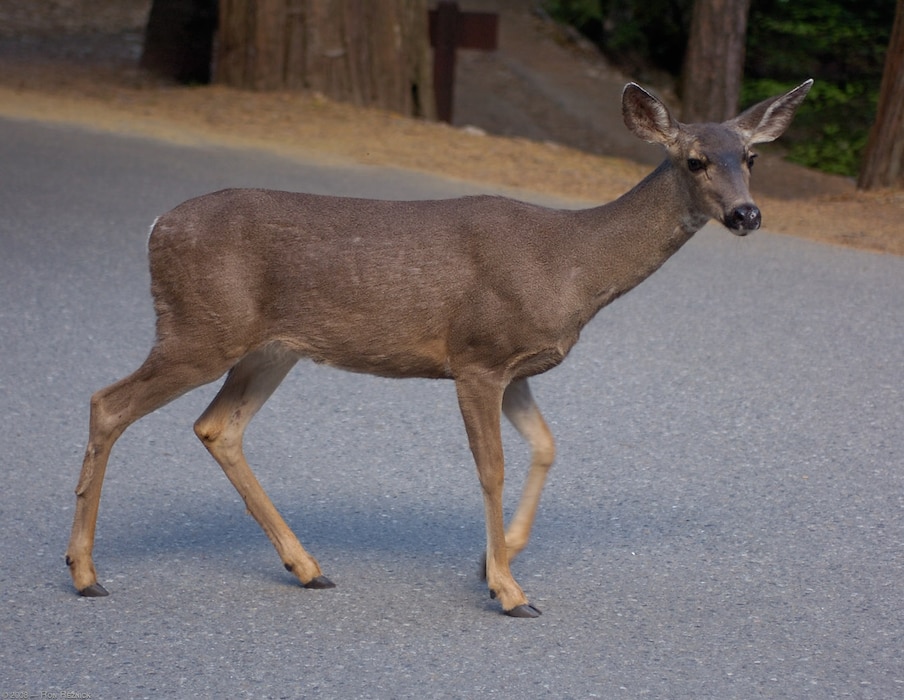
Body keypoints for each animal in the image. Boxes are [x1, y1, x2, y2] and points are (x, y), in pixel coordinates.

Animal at [65, 80, 812, 617]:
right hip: (200, 327)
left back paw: (307, 568)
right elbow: (494, 468)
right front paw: (510, 591)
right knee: (108, 402)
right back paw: (85, 573)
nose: (747, 214)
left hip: (269, 347)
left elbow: (547, 446)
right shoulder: (477, 355)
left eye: (751, 157)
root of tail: (155, 227)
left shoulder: (518, 367)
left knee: (217, 426)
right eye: (694, 159)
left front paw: (492, 563)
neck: (570, 266)